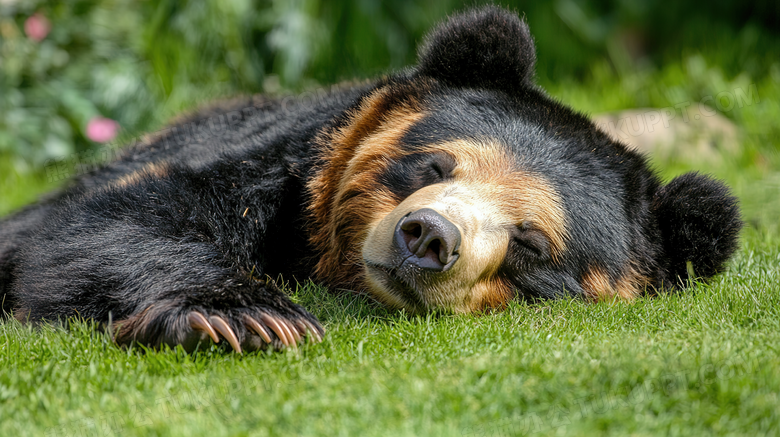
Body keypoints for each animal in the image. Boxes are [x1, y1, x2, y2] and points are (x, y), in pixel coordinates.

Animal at [0, 5, 744, 350]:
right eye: (435, 164)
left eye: (531, 242)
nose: (427, 237)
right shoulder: (267, 173)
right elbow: (127, 214)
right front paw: (247, 317)